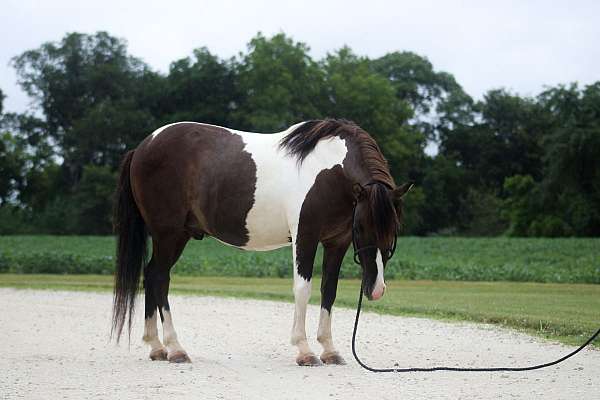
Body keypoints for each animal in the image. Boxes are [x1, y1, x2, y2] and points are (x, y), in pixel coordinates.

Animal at [111, 118, 412, 366]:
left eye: (394, 228)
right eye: (361, 226)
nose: (375, 289)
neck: (329, 171)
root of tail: (142, 147)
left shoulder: (336, 242)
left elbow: (329, 290)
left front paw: (329, 351)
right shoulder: (305, 236)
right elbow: (303, 289)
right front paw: (305, 352)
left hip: (177, 235)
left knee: (151, 274)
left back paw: (157, 348)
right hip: (168, 233)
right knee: (160, 278)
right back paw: (175, 349)